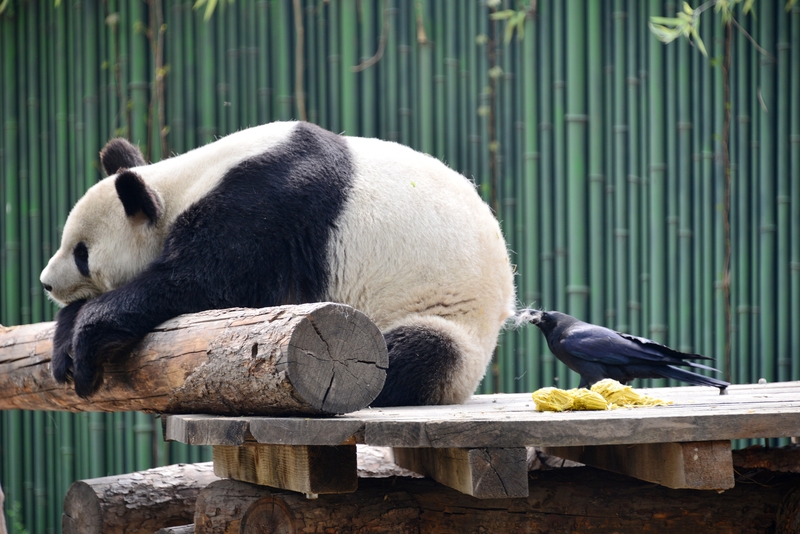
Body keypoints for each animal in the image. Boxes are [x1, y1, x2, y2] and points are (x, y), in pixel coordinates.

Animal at [40, 121, 516, 406]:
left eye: (81, 253)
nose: (46, 282)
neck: (180, 184)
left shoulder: (265, 208)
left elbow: (204, 285)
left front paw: (87, 336)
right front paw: (65, 341)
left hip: (447, 320)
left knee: (412, 352)